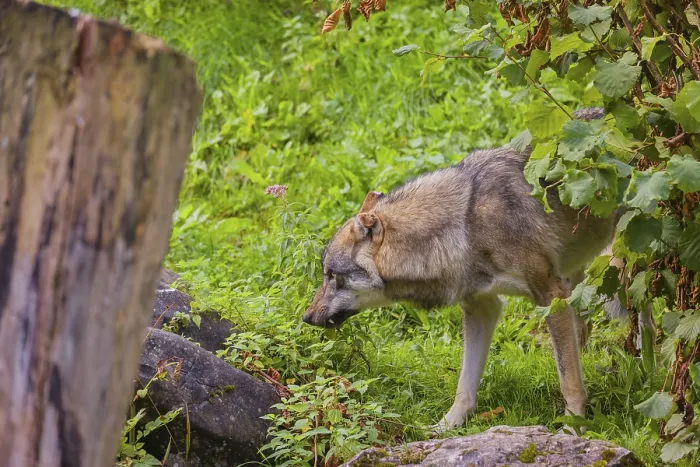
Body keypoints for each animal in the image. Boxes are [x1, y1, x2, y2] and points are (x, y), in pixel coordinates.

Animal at [302, 111, 644, 431]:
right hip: (583, 281)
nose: (306, 317)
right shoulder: (482, 307)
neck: (464, 225)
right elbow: (465, 383)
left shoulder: (550, 295)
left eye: (331, 275)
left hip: (621, 274)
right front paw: (446, 426)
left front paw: (574, 425)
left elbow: (568, 378)